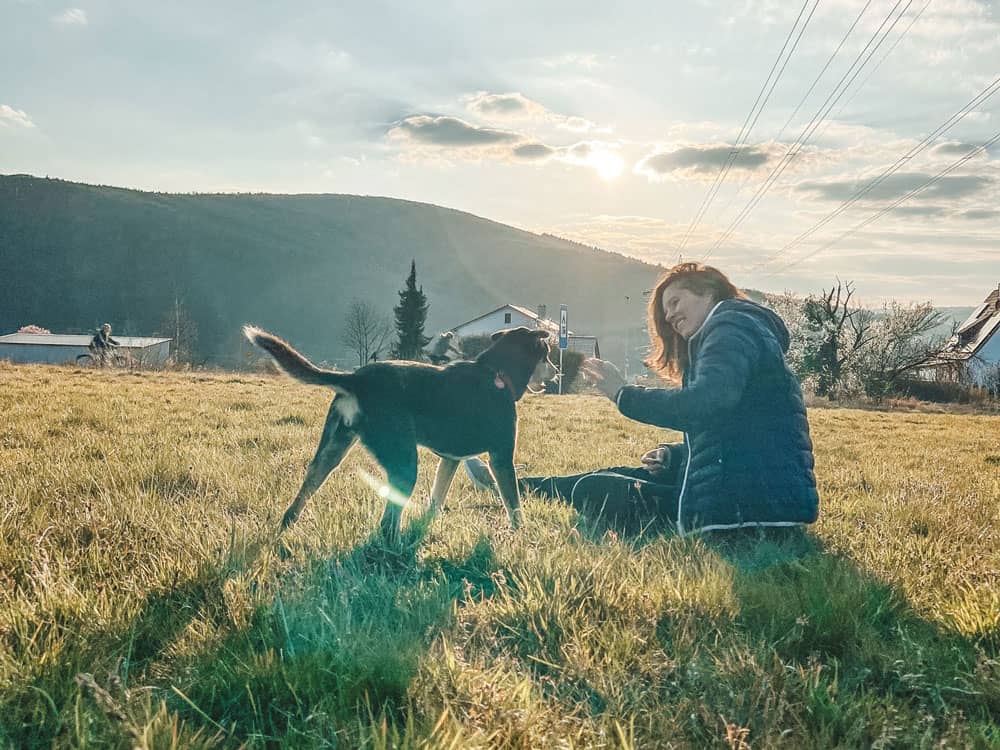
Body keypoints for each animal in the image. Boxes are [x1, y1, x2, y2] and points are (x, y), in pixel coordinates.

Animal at [244, 326, 556, 536]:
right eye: (547, 355)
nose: (557, 372)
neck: (496, 375)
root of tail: (355, 379)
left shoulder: (450, 459)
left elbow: (436, 499)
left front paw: (427, 527)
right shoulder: (501, 457)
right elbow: (514, 505)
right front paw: (522, 535)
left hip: (332, 450)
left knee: (308, 485)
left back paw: (288, 525)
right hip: (404, 462)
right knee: (387, 521)